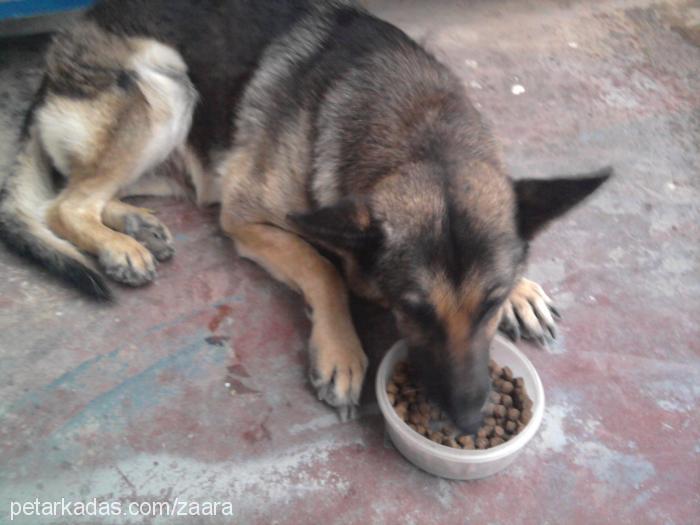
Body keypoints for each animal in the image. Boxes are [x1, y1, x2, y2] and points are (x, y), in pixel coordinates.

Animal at [0, 0, 608, 430]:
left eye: (489, 304)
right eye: (412, 310)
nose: (466, 421)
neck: (421, 132)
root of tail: (53, 65)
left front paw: (524, 289)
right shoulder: (248, 220)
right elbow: (323, 269)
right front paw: (341, 351)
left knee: (87, 193)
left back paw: (133, 225)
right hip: (167, 83)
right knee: (64, 203)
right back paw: (117, 246)